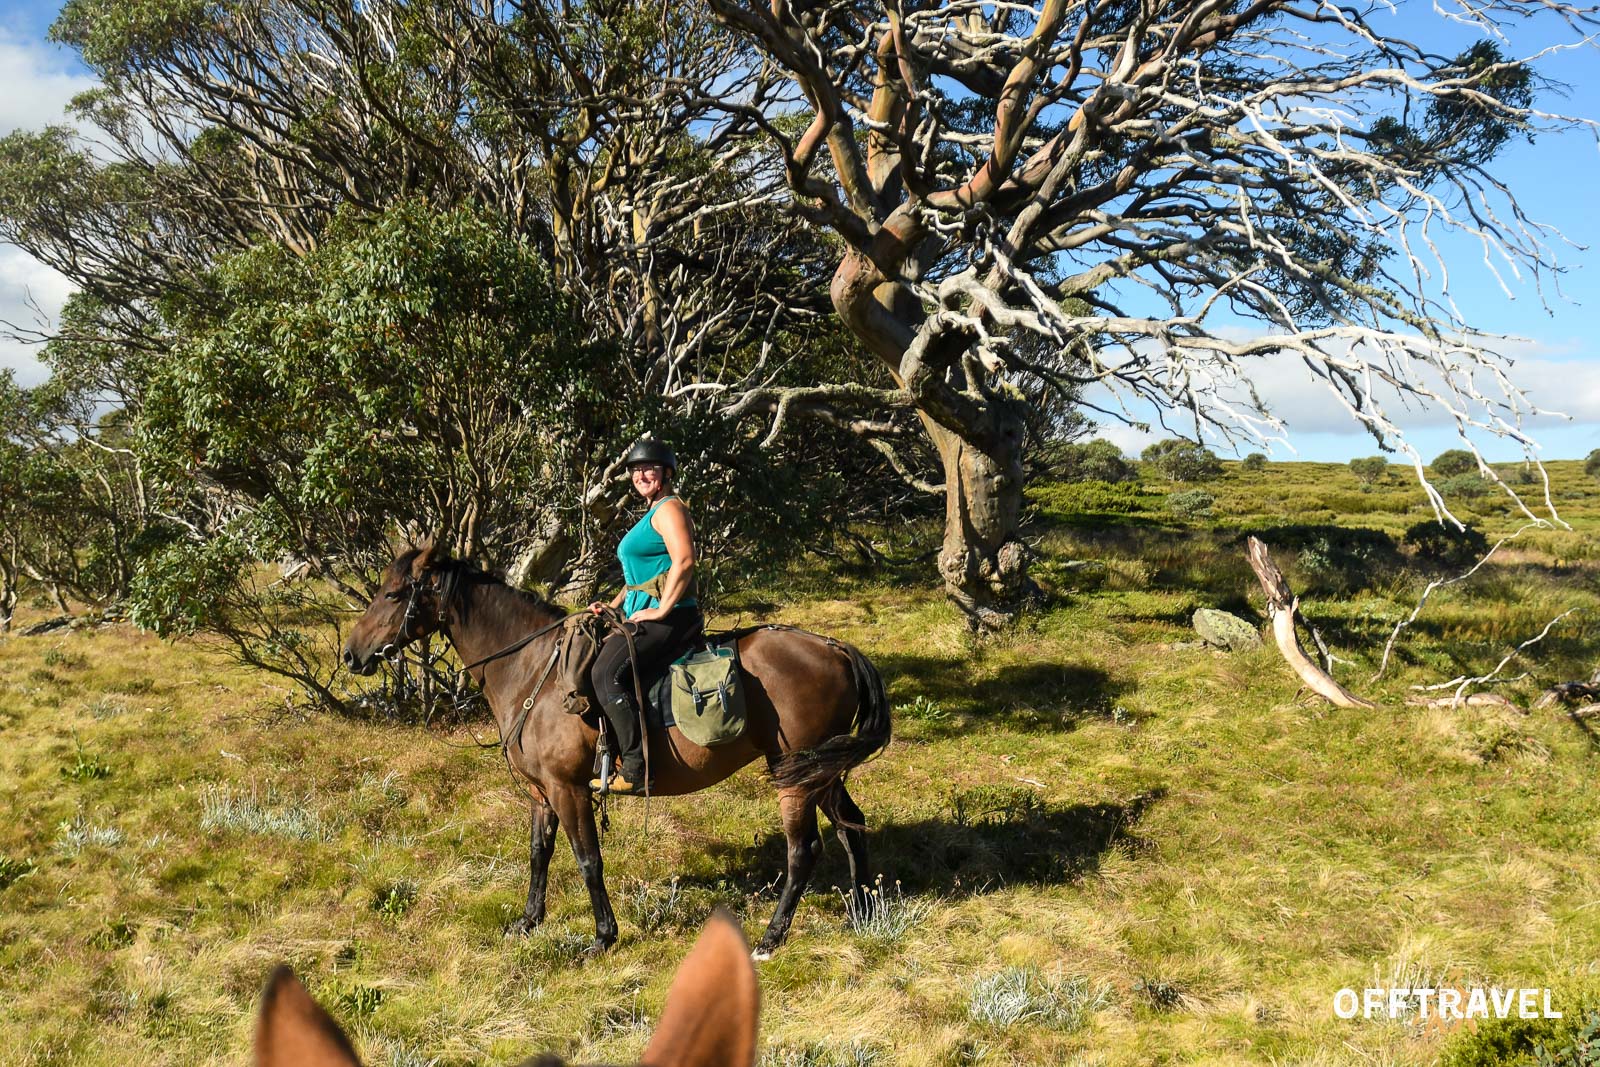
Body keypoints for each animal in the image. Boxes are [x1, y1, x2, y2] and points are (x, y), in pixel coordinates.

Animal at [341, 541, 891, 957]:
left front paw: (603, 937)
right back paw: (864, 913)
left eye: (393, 593)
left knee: (805, 849)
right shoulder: (542, 793)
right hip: (820, 771)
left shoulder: (569, 789)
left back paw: (771, 938)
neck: (534, 672)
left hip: (794, 774)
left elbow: (587, 859)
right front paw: (528, 921)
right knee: (851, 826)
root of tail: (835, 648)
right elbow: (539, 853)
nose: (351, 654)